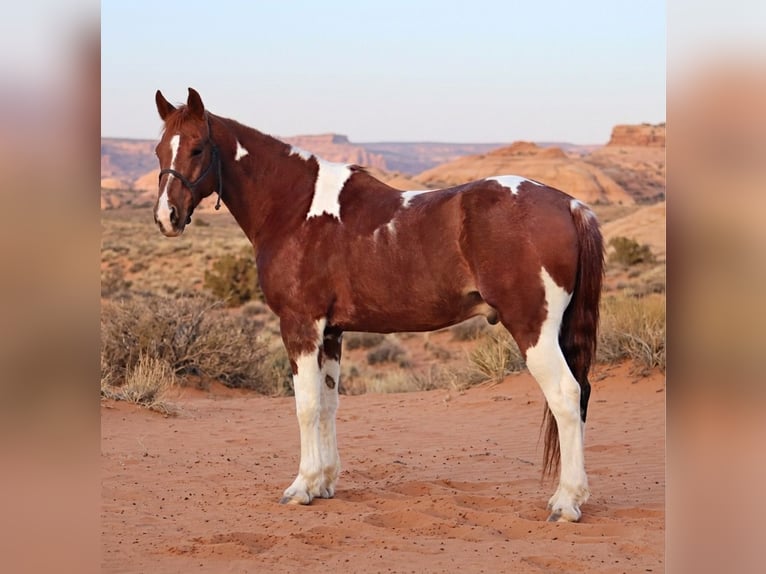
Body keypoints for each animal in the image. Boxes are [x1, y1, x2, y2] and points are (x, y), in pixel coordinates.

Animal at [152, 88, 604, 523]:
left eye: (197, 148)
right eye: (159, 150)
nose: (166, 218)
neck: (294, 208)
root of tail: (569, 205)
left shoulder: (300, 325)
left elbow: (305, 405)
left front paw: (301, 487)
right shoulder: (331, 331)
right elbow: (328, 404)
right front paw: (324, 483)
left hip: (533, 328)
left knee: (566, 396)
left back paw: (566, 503)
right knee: (581, 395)